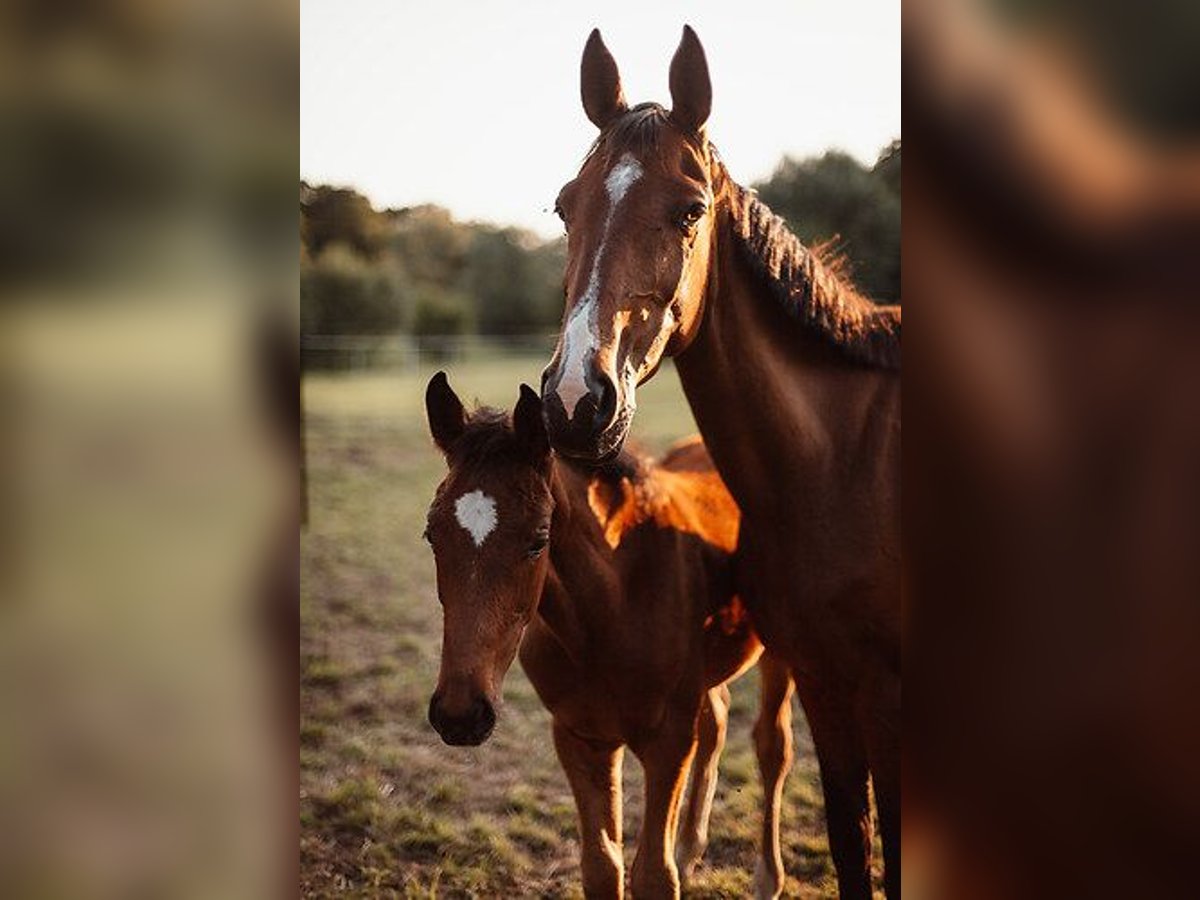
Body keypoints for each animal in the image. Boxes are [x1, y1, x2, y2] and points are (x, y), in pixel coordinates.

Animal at [422, 372, 796, 897]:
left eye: (538, 540)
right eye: (432, 535)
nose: (460, 714)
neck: (610, 613)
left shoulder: (667, 741)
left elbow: (654, 875)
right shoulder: (581, 736)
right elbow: (602, 868)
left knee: (772, 745)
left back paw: (765, 876)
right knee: (717, 722)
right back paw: (690, 849)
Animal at [542, 28, 902, 900]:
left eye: (690, 210)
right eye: (565, 206)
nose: (573, 401)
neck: (838, 465)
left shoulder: (888, 701)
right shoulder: (827, 684)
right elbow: (851, 846)